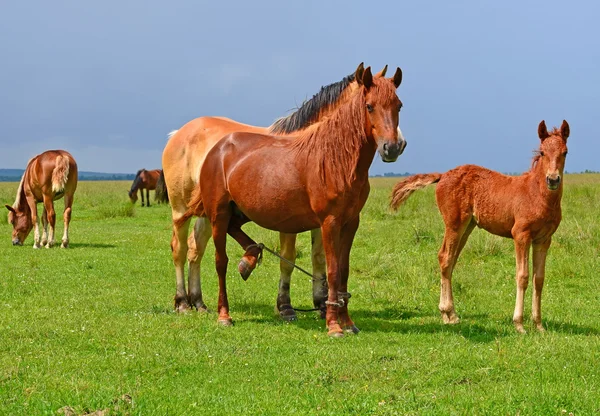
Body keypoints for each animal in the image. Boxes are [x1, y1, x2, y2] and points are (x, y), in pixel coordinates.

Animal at [162, 62, 406, 318]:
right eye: (369, 106)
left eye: (399, 105)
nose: (396, 146)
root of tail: (179, 134)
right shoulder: (289, 222)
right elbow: (287, 259)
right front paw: (285, 306)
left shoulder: (323, 218)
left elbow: (319, 257)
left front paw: (321, 303)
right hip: (181, 210)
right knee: (179, 249)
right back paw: (182, 302)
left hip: (209, 213)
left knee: (196, 248)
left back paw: (198, 301)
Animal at [392, 119, 568, 332]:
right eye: (542, 152)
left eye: (565, 152)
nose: (553, 179)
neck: (537, 195)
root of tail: (442, 175)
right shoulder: (521, 235)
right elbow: (523, 276)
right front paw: (519, 324)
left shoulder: (543, 239)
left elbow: (539, 279)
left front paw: (539, 325)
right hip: (454, 224)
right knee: (445, 257)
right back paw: (448, 313)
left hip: (468, 227)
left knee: (451, 260)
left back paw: (450, 314)